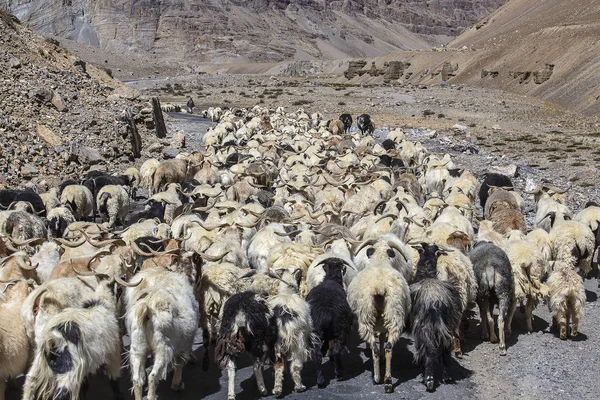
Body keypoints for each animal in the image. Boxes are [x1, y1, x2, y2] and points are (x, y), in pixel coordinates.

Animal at [125, 266, 198, 400]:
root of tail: (146, 308)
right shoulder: (184, 344)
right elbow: (179, 362)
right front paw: (177, 384)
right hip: (163, 347)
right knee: (153, 376)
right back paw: (152, 396)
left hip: (138, 346)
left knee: (137, 379)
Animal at [268, 268, 314, 396]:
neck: (287, 293)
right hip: (298, 343)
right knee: (295, 366)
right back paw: (299, 387)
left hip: (275, 347)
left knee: (278, 367)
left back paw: (277, 389)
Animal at [308, 256, 354, 388]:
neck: (332, 279)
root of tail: (326, 312)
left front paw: (324, 350)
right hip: (343, 328)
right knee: (336, 351)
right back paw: (339, 372)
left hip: (316, 331)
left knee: (317, 355)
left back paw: (320, 380)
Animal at [346, 256, 412, 390]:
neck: (380, 261)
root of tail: (379, 287)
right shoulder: (382, 325)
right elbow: (381, 338)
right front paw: (382, 358)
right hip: (394, 316)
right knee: (389, 347)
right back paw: (388, 381)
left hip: (366, 318)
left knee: (374, 349)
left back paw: (377, 378)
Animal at [410, 242, 462, 392]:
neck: (427, 274)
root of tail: (436, 301)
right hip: (447, 325)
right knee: (446, 350)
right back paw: (447, 376)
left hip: (425, 327)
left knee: (429, 350)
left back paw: (429, 379)